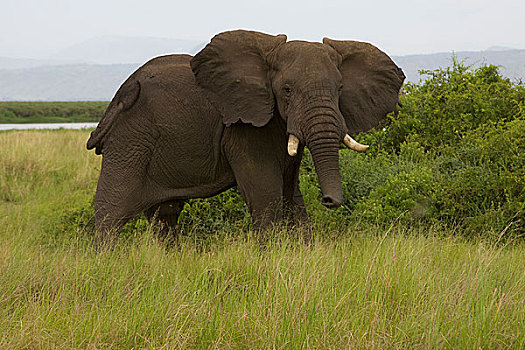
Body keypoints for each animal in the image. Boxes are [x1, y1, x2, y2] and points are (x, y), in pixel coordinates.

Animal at [87, 29, 406, 238]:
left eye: (340, 89)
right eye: (286, 90)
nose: (329, 201)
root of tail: (120, 93)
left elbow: (291, 196)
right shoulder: (244, 128)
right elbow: (266, 194)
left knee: (164, 216)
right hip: (130, 138)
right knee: (111, 212)